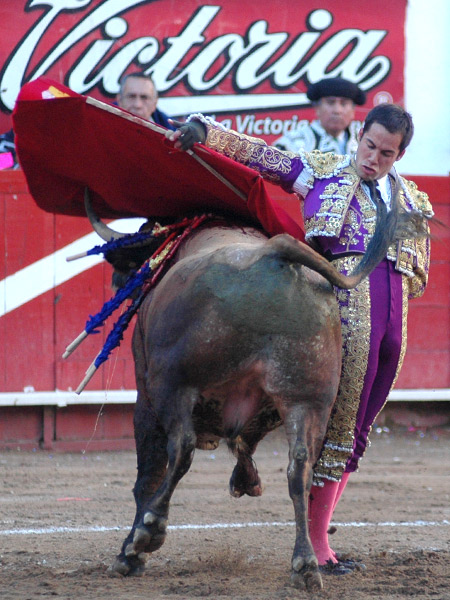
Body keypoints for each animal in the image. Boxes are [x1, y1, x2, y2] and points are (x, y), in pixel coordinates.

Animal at [83, 191, 422, 592]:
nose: (117, 280)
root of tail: (274, 254)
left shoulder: (145, 393)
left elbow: (147, 475)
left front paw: (131, 553)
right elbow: (244, 443)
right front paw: (248, 481)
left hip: (173, 386)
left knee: (180, 450)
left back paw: (145, 536)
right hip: (308, 399)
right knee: (301, 468)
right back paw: (306, 564)